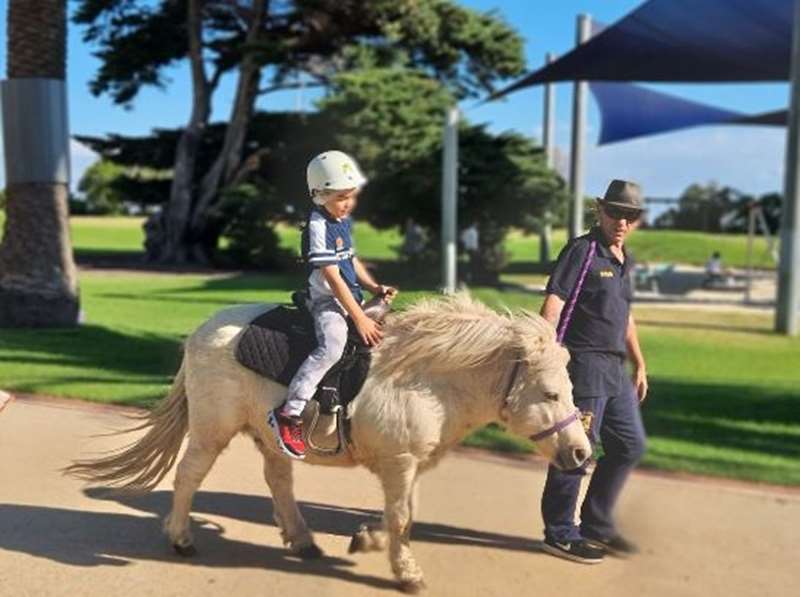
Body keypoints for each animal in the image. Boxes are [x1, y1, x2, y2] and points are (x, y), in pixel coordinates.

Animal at [67, 294, 588, 592]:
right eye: (550, 393)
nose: (582, 453)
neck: (428, 377)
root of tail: (203, 329)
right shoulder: (400, 461)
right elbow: (402, 518)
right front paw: (407, 572)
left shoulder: (409, 464)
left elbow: (402, 515)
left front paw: (369, 539)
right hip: (213, 429)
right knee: (189, 476)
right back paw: (180, 538)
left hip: (269, 435)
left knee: (278, 480)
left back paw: (301, 539)